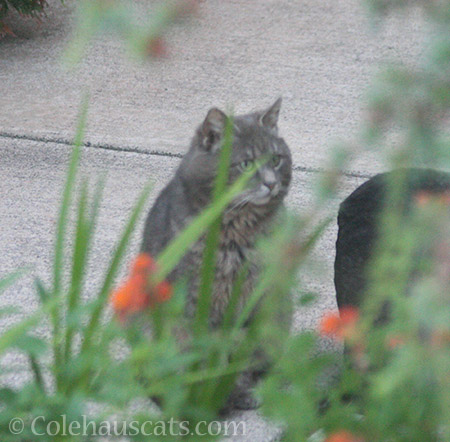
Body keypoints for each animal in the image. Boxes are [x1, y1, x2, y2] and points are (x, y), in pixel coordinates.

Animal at [142, 98, 294, 412]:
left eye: (276, 159)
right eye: (246, 164)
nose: (271, 183)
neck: (238, 234)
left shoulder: (256, 298)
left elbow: (242, 352)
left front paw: (240, 391)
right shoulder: (195, 300)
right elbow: (209, 354)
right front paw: (217, 394)